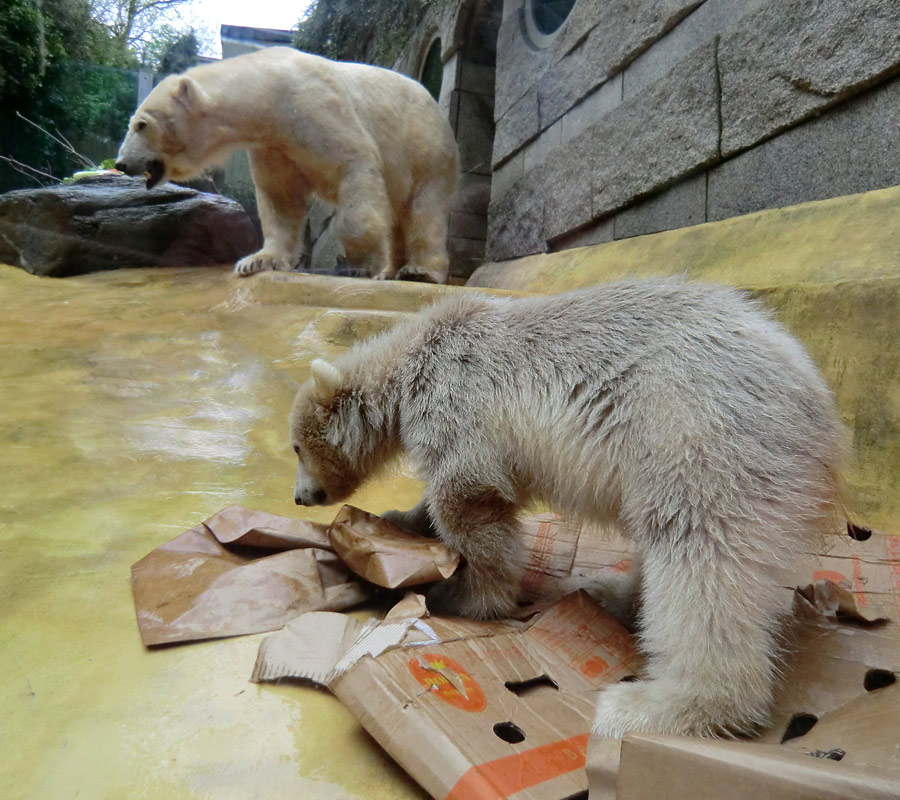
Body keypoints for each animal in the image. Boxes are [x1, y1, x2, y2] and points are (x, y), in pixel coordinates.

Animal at [116, 47, 460, 282]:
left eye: (141, 124)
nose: (121, 163)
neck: (269, 93)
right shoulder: (273, 145)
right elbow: (280, 198)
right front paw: (257, 261)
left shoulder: (314, 109)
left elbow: (354, 164)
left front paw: (362, 263)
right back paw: (393, 269)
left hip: (426, 147)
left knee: (424, 209)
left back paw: (419, 270)